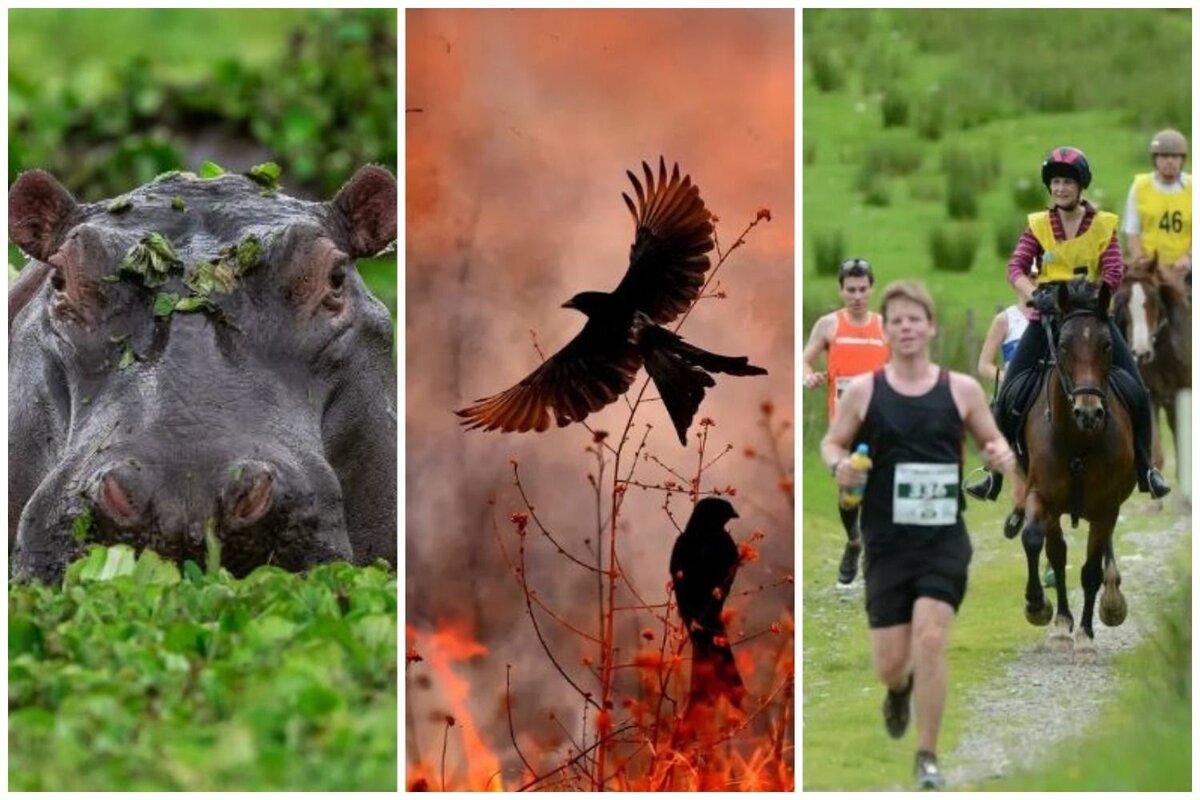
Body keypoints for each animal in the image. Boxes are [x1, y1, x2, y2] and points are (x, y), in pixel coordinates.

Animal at [1022, 278, 1132, 652]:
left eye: (1107, 344)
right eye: (1063, 345)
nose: (1088, 412)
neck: (1077, 443)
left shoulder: (1106, 507)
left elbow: (1090, 570)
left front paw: (1084, 633)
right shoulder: (1041, 496)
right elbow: (1036, 541)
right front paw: (1041, 609)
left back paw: (1112, 601)